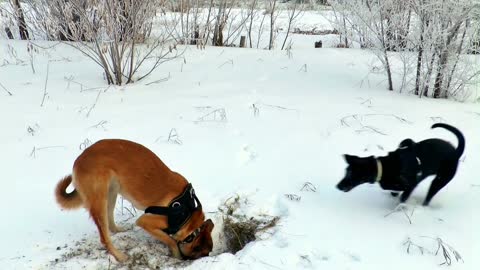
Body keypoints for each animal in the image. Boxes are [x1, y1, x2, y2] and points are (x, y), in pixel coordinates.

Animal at [54, 139, 214, 262]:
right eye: (202, 253)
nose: (187, 260)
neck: (187, 214)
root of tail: (79, 159)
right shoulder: (146, 221)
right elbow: (170, 240)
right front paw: (175, 254)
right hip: (100, 199)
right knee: (104, 237)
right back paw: (120, 257)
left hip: (112, 191)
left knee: (109, 221)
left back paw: (118, 230)